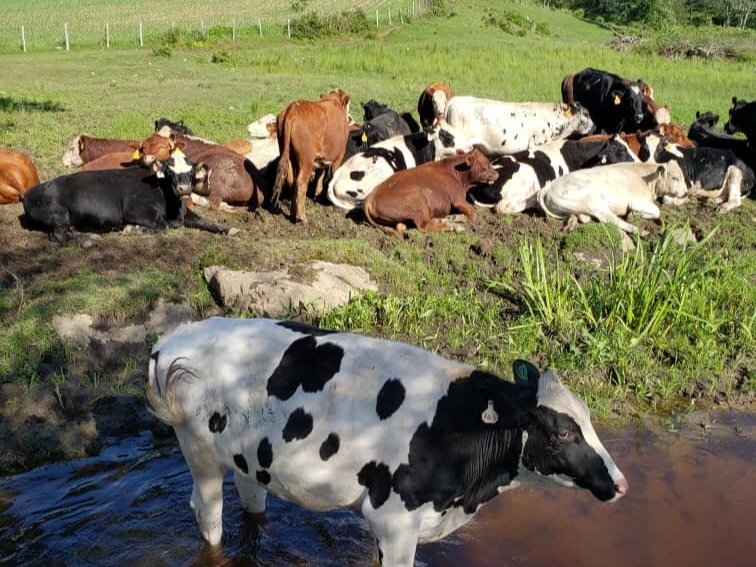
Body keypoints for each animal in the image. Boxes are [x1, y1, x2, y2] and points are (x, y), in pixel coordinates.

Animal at [22, 149, 233, 244]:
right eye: (169, 171)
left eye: (190, 172)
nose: (183, 188)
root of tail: (29, 193)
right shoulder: (136, 211)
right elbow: (163, 226)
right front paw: (134, 230)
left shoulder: (185, 214)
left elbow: (205, 221)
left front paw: (227, 228)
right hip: (59, 214)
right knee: (58, 234)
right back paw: (87, 240)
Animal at [147, 317, 628, 566]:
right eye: (563, 431)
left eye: (588, 420)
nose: (621, 484)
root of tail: (175, 335)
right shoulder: (393, 520)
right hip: (199, 450)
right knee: (208, 514)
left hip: (248, 454)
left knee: (251, 498)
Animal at [270, 89, 353, 223]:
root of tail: (292, 110)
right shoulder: (339, 156)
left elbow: (320, 174)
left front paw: (317, 193)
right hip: (306, 160)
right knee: (301, 182)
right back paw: (302, 217)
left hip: (290, 156)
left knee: (293, 182)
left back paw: (293, 213)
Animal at [362, 148, 498, 233]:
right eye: (485, 166)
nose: (497, 174)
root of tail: (372, 195)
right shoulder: (457, 199)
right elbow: (472, 213)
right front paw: (461, 219)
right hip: (418, 199)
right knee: (424, 225)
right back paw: (454, 226)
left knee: (404, 225)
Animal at [537, 161, 689, 235]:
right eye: (675, 178)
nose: (686, 193)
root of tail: (548, 186)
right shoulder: (636, 201)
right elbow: (657, 211)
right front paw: (633, 215)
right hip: (593, 201)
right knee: (609, 219)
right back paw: (640, 231)